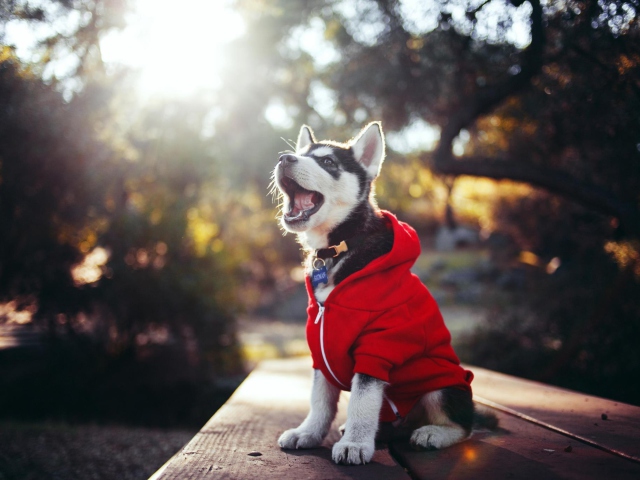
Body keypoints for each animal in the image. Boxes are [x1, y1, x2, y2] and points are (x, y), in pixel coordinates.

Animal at [270, 123, 496, 464]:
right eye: (300, 154)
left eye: (328, 163)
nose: (284, 158)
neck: (338, 248)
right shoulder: (320, 346)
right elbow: (320, 399)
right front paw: (308, 432)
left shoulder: (379, 344)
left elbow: (363, 401)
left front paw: (355, 443)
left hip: (443, 387)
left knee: (464, 427)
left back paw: (433, 433)